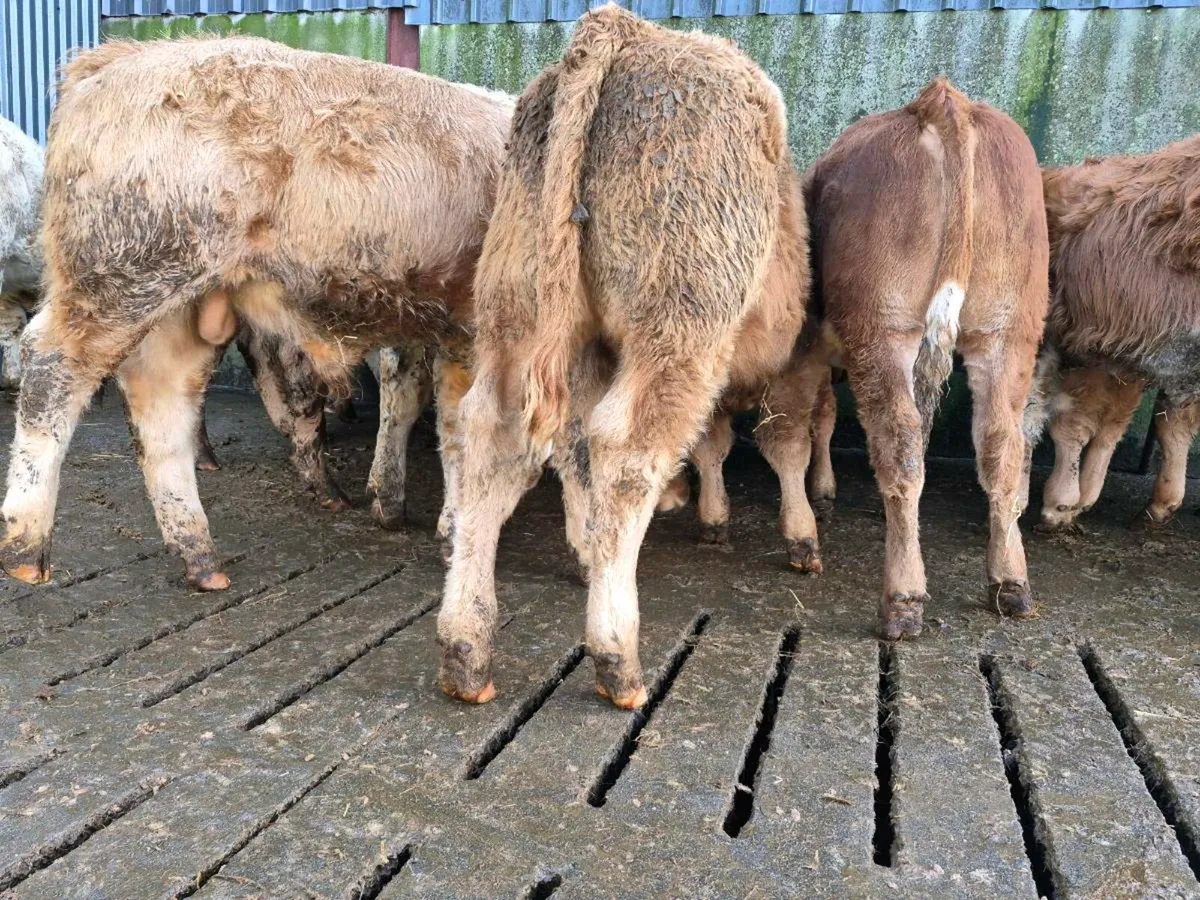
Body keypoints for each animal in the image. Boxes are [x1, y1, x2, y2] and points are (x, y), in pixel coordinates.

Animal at [0, 36, 513, 592]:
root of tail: (118, 57)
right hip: (118, 281)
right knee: (51, 367)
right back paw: (26, 545)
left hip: (182, 303)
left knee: (160, 399)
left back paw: (201, 556)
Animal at [438, 5, 810, 708]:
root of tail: (626, 29)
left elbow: (575, 451)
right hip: (678, 326)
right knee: (628, 451)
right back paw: (619, 660)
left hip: (515, 312)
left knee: (493, 437)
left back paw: (466, 648)